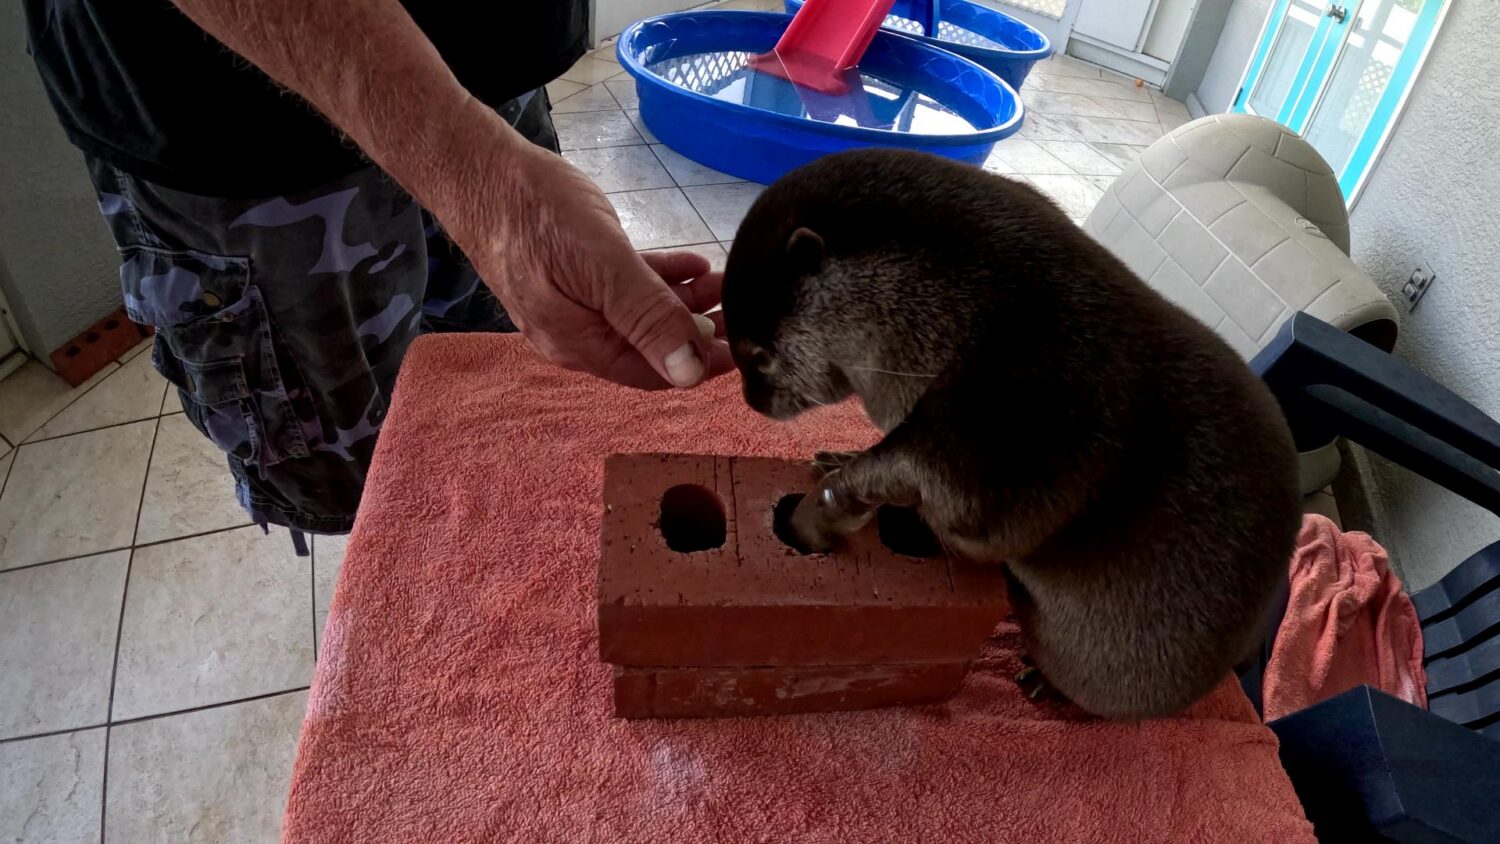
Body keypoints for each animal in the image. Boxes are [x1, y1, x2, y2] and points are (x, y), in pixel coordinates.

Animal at [721, 149, 1302, 719]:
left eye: (758, 353)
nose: (751, 400)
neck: (965, 310)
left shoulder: (1025, 415)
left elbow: (954, 494)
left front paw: (832, 500)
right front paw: (839, 457)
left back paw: (1049, 687)